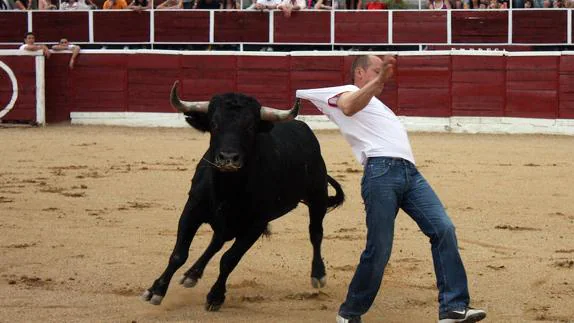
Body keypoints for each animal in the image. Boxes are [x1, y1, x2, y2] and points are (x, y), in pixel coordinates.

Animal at [143, 81, 346, 312]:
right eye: (214, 124)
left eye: (249, 127)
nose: (228, 158)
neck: (228, 189)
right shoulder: (192, 211)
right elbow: (179, 254)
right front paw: (156, 290)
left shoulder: (255, 225)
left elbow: (229, 260)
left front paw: (215, 297)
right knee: (217, 241)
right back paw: (192, 274)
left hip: (317, 196)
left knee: (316, 233)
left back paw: (318, 274)